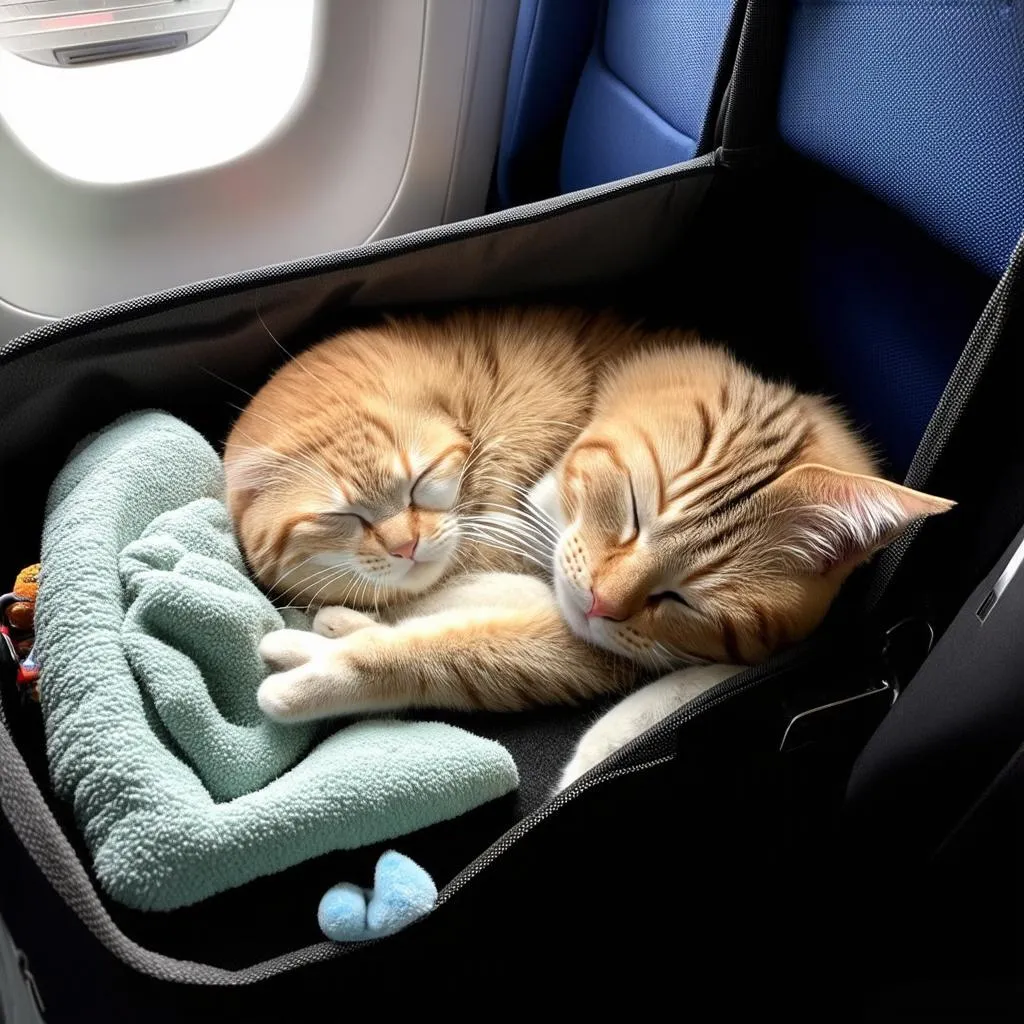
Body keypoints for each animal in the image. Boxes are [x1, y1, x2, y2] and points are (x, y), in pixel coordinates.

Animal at [226, 311, 950, 790]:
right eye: (630, 510)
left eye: (684, 598)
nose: (602, 602)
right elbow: (450, 604)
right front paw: (334, 628)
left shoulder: (597, 641)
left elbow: (454, 648)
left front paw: (322, 661)